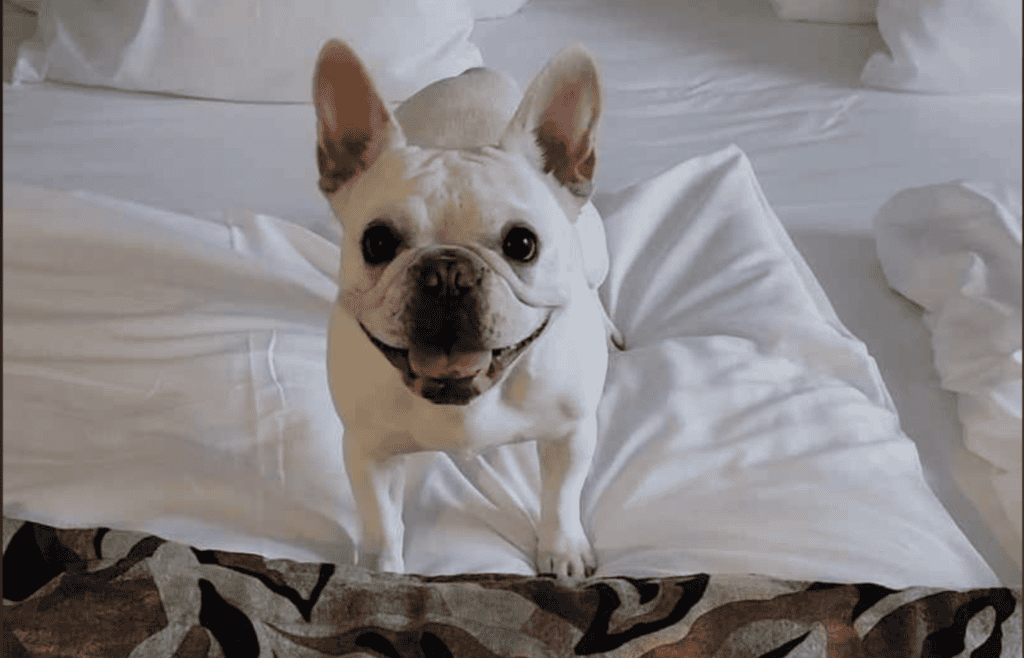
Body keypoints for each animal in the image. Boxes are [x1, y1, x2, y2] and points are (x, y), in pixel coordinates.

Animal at [315, 39, 618, 581]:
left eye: (522, 244)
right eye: (377, 242)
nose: (447, 274)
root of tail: (474, 74)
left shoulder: (570, 434)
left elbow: (561, 497)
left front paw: (562, 549)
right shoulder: (368, 450)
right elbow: (380, 519)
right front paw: (380, 572)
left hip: (596, 245)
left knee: (595, 281)